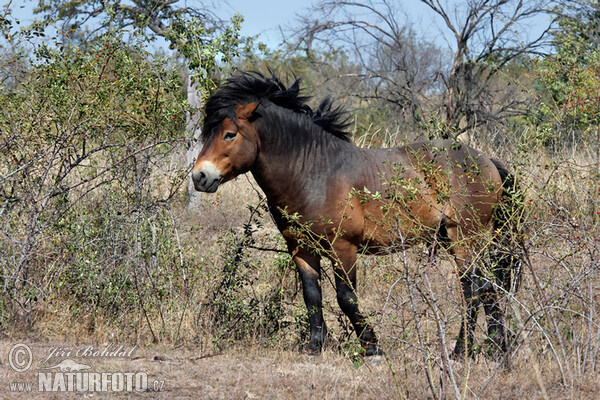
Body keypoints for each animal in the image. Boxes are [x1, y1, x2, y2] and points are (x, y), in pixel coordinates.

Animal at [192, 70, 520, 358]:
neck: (315, 173)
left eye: (229, 134)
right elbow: (312, 296)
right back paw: (496, 348)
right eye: (206, 135)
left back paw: (461, 351)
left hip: (464, 238)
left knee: (471, 290)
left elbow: (346, 299)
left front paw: (371, 347)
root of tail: (486, 160)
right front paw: (314, 346)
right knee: (486, 288)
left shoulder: (344, 248)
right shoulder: (301, 248)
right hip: (458, 240)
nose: (199, 177)